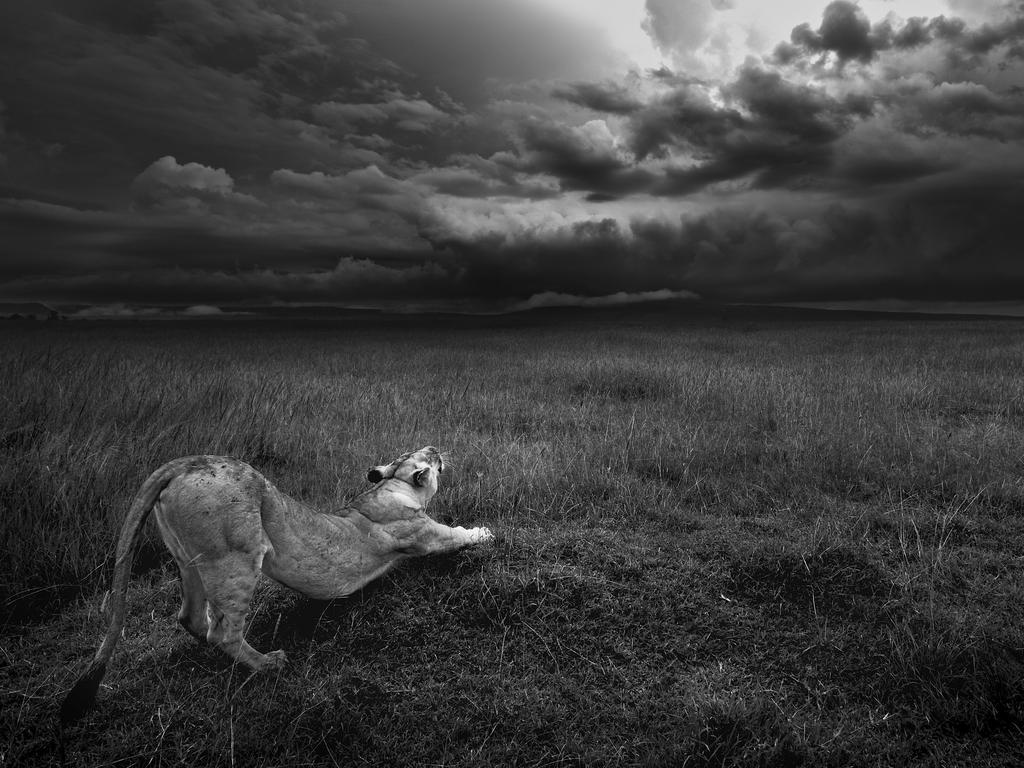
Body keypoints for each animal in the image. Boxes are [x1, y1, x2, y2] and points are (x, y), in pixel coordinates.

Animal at [59, 448, 491, 724]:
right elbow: (456, 535)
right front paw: (485, 533)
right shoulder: (423, 535)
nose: (435, 446)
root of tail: (188, 462)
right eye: (427, 457)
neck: (385, 489)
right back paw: (269, 664)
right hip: (237, 554)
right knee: (223, 631)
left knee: (190, 618)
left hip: (188, 559)